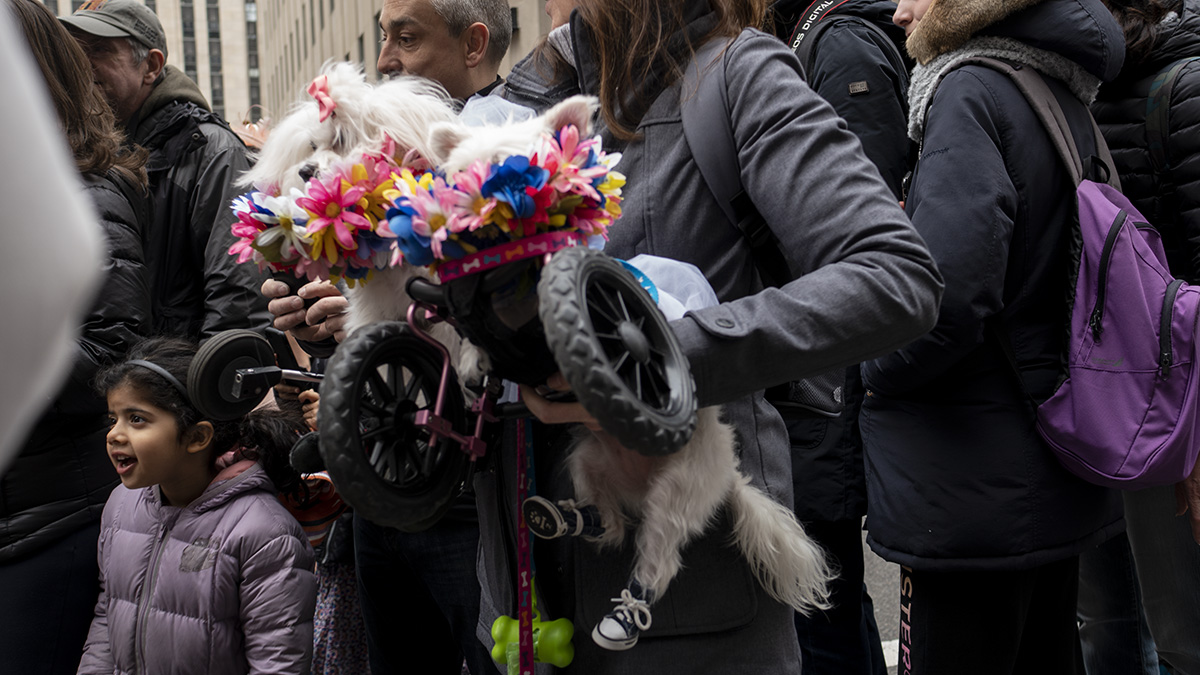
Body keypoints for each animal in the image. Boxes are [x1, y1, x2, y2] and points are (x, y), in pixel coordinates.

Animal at [432, 97, 835, 648]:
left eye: (527, 172)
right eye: (467, 176)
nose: (493, 207)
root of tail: (728, 479)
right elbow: (476, 335)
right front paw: (474, 360)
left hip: (677, 492)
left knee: (657, 556)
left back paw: (625, 613)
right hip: (589, 461)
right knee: (611, 522)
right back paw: (564, 518)